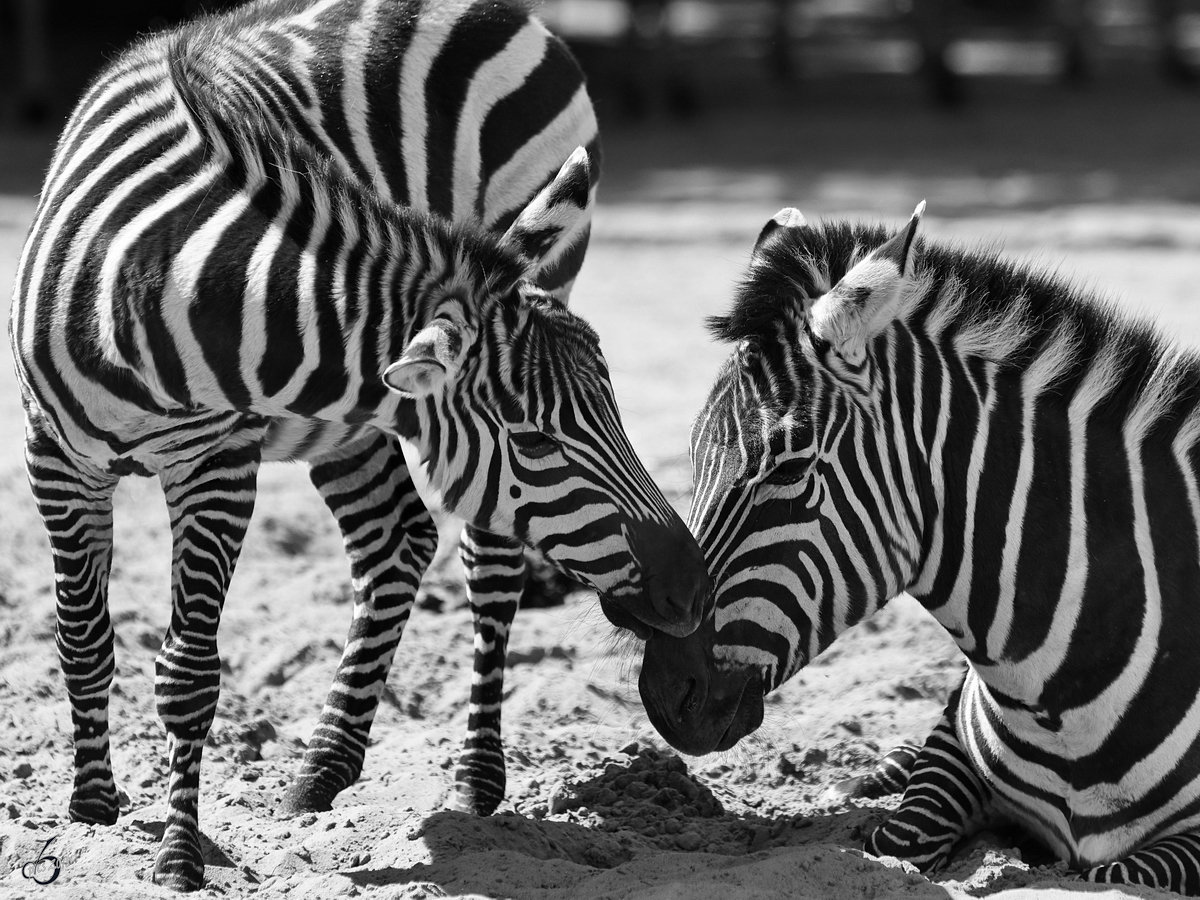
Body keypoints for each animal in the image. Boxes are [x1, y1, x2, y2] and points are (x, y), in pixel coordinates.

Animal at [11, 5, 710, 897]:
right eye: (535, 438)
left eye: (611, 411)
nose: (694, 586)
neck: (149, 285)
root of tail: (508, 11)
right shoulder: (53, 456)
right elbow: (81, 638)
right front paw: (93, 806)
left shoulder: (218, 462)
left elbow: (189, 672)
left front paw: (175, 855)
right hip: (348, 418)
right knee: (395, 539)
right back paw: (322, 768)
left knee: (488, 568)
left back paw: (474, 780)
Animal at [643, 204, 1200, 897]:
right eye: (692, 455)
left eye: (788, 467)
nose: (661, 698)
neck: (1057, 707)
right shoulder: (952, 749)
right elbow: (900, 837)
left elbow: (1114, 871)